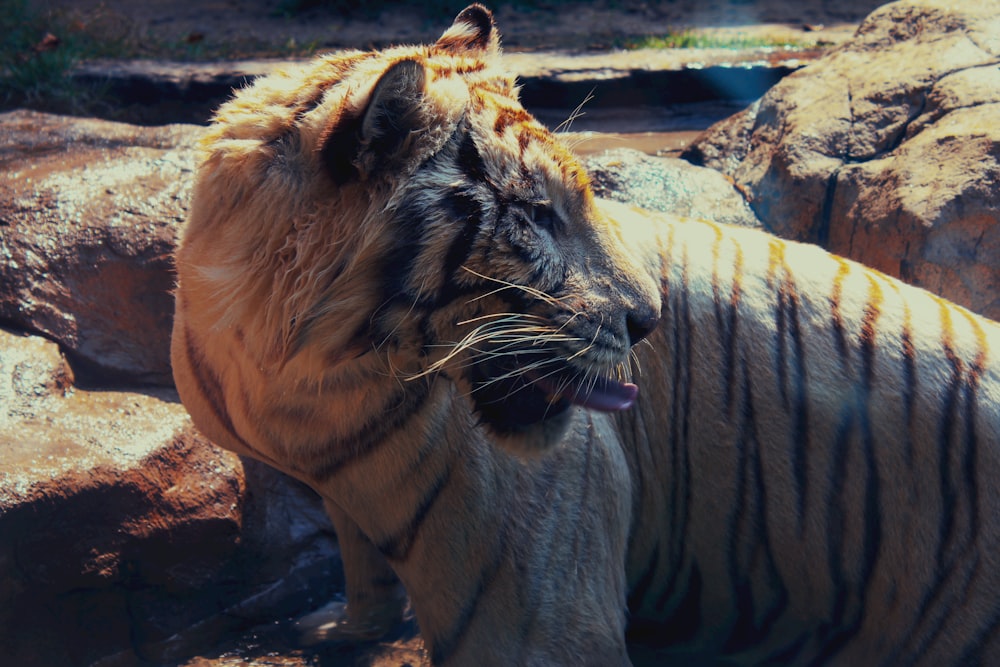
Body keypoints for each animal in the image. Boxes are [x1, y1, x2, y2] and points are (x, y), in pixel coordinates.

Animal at [168, 3, 996, 664]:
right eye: (536, 215)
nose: (650, 318)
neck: (300, 383)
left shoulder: (532, 611)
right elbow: (359, 562)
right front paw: (346, 628)